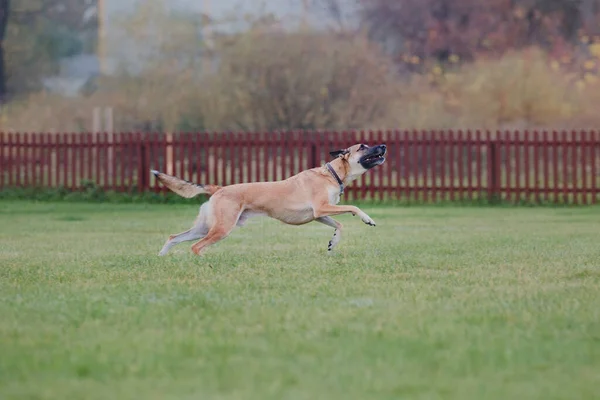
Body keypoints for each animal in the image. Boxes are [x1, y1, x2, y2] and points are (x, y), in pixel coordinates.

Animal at [150, 143, 384, 256]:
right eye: (362, 147)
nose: (383, 146)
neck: (332, 174)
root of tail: (219, 188)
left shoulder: (319, 215)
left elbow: (339, 225)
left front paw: (332, 242)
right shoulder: (321, 208)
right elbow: (353, 207)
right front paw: (368, 219)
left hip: (207, 226)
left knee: (174, 237)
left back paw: (161, 256)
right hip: (222, 228)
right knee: (196, 247)